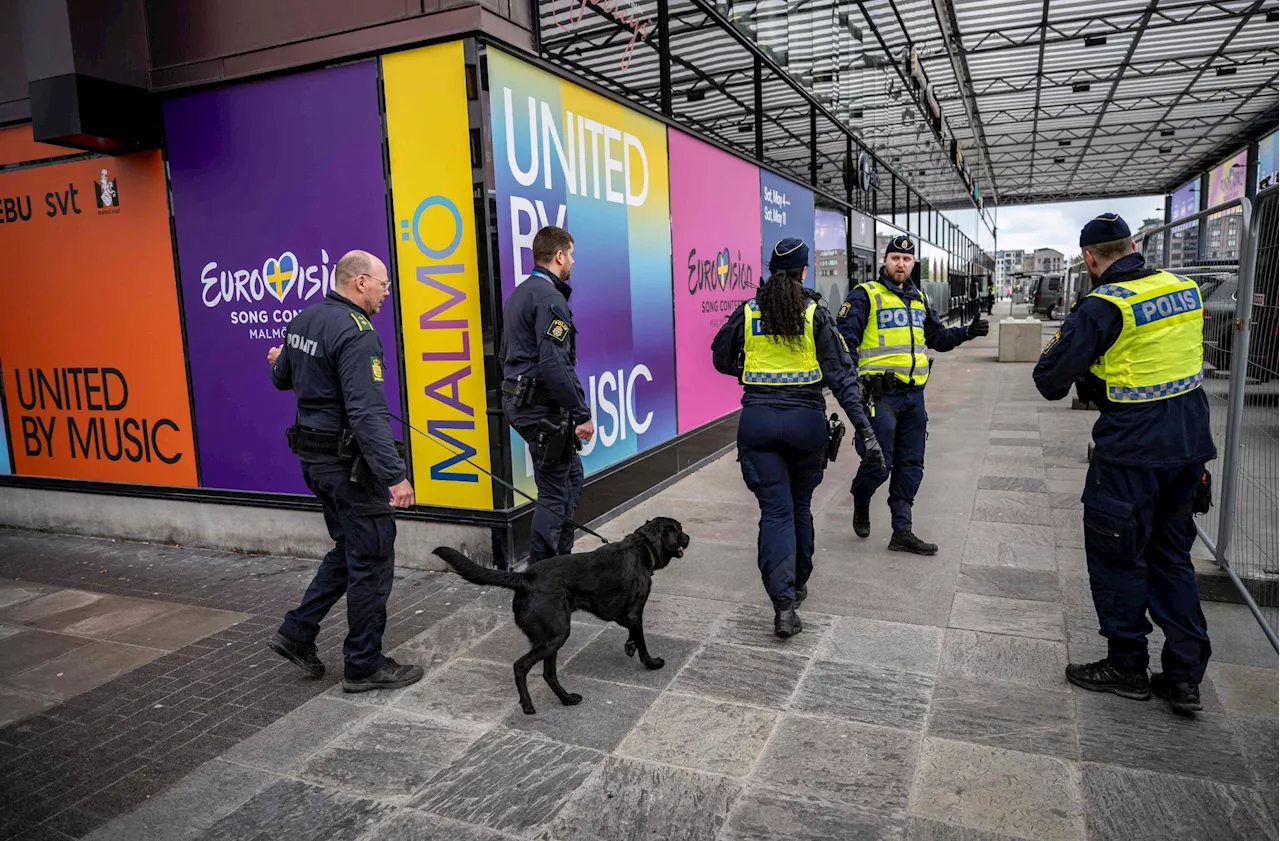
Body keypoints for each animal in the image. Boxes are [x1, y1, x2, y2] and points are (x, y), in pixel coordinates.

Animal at [432, 514, 691, 711]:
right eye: (679, 530)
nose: (688, 537)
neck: (643, 546)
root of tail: (524, 577)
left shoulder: (627, 615)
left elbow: (632, 633)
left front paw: (629, 646)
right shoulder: (635, 612)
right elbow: (642, 641)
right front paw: (651, 662)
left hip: (549, 638)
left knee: (548, 674)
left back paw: (566, 699)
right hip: (557, 635)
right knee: (521, 666)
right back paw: (528, 705)